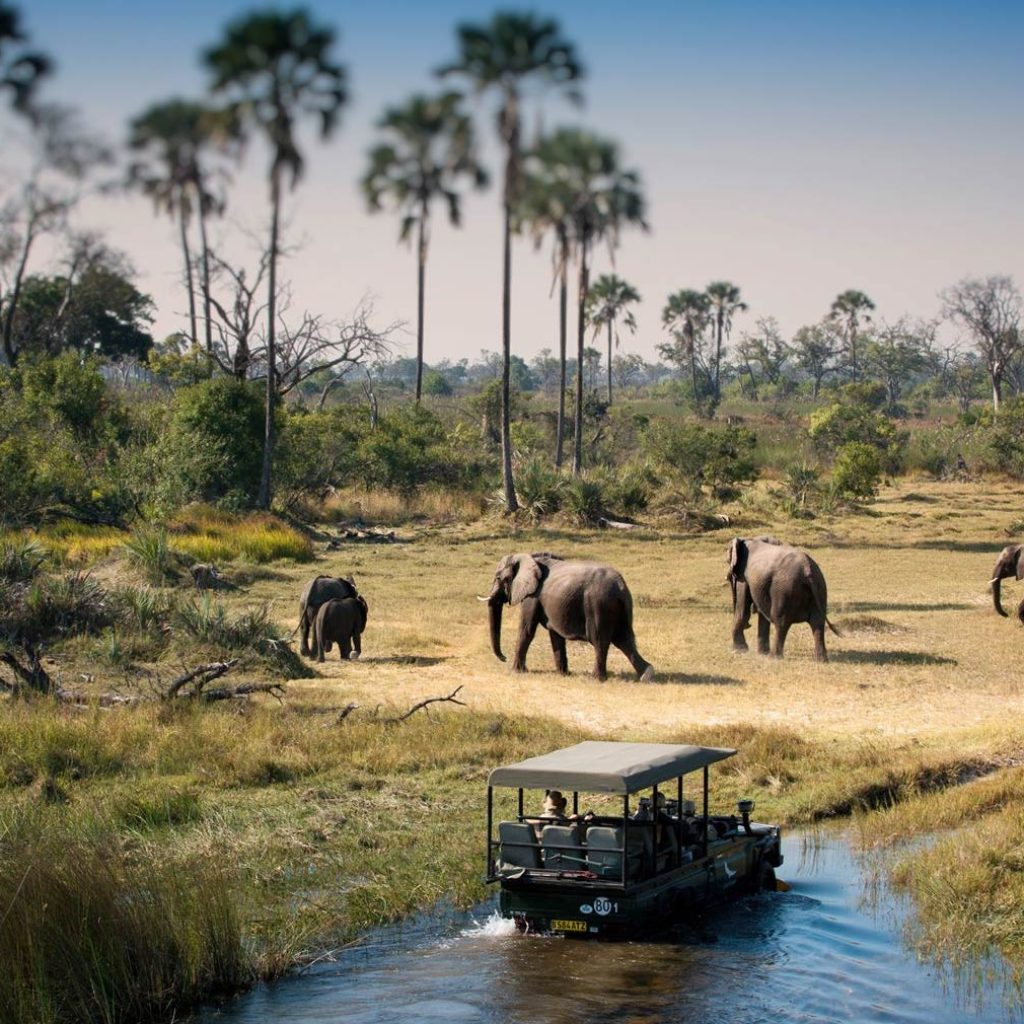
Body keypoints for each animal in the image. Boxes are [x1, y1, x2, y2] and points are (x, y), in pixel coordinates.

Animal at [481, 552, 654, 681]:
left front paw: (515, 672)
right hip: (621, 607)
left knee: (600, 640)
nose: (504, 657)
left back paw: (595, 679)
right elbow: (555, 636)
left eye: (498, 578)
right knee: (624, 640)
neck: (529, 557)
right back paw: (647, 675)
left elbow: (527, 630)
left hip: (598, 604)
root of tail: (620, 586)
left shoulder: (532, 596)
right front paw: (563, 674)